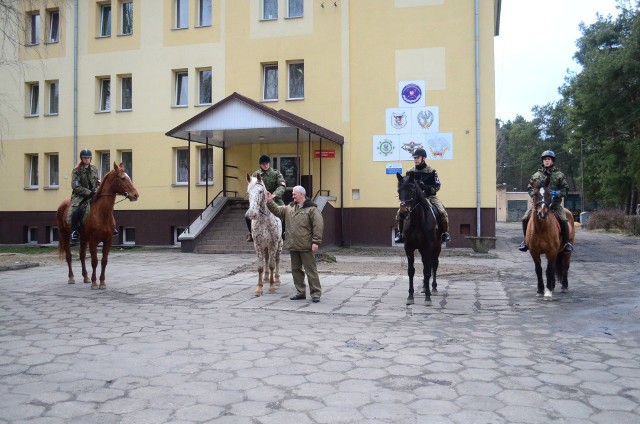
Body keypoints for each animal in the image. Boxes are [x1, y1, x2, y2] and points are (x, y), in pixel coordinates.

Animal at [396, 171, 440, 306]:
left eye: (412, 189)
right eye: (398, 190)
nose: (403, 213)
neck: (417, 222)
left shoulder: (428, 246)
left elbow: (427, 271)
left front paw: (428, 298)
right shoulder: (409, 247)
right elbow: (411, 271)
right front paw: (410, 296)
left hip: (437, 246)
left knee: (434, 264)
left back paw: (433, 288)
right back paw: (425, 287)